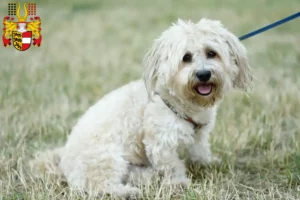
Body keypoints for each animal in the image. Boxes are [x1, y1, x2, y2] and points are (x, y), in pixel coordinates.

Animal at [29, 18, 251, 197]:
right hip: (107, 158)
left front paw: (209, 162)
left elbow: (199, 151)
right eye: (186, 57)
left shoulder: (199, 135)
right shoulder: (161, 142)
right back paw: (126, 192)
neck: (179, 101)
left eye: (212, 53)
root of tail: (63, 161)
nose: (203, 74)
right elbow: (172, 166)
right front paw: (179, 183)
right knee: (99, 186)